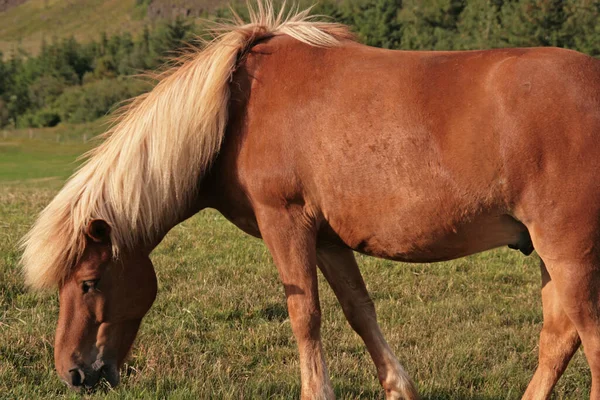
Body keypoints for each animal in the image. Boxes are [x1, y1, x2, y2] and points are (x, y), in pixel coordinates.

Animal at [18, 3, 600, 400]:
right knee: (559, 338)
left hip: (569, 254)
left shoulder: (286, 224)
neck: (232, 112)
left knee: (588, 336)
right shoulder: (327, 240)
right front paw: (398, 387)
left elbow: (306, 315)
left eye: (88, 282)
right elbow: (359, 311)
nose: (73, 373)